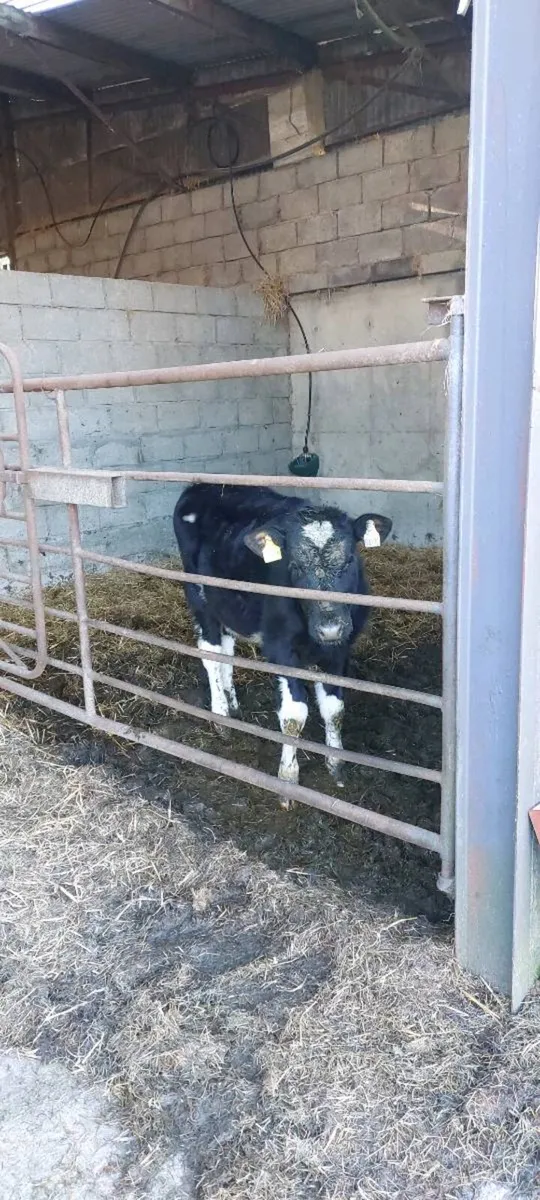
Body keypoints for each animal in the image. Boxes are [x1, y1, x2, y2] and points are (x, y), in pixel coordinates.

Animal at [173, 484, 392, 804]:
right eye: (295, 566)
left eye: (350, 559)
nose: (330, 629)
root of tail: (201, 486)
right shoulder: (281, 649)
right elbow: (293, 715)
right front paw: (288, 779)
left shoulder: (339, 651)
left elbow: (334, 708)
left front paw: (336, 765)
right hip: (200, 598)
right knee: (211, 654)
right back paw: (221, 715)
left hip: (228, 605)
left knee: (227, 651)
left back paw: (232, 703)